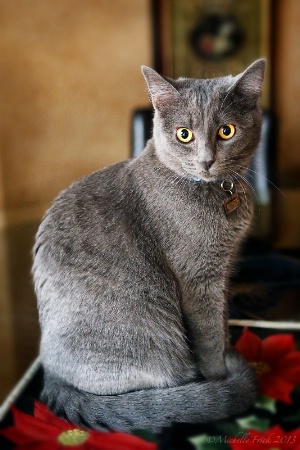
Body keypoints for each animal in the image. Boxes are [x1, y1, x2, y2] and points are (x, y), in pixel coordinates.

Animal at [32, 59, 266, 432]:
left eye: (226, 131)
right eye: (184, 134)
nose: (206, 160)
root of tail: (52, 377)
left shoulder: (222, 272)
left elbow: (222, 321)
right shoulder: (198, 280)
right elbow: (210, 335)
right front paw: (220, 378)